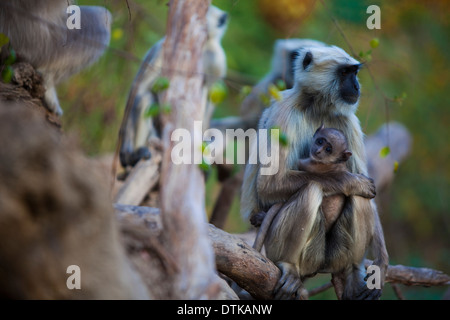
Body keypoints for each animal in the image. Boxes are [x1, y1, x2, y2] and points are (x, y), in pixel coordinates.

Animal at [118, 5, 229, 169]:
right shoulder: (166, 47)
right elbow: (141, 88)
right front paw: (127, 154)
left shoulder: (217, 60)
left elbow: (211, 97)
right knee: (145, 98)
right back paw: (137, 154)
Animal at [241, 45, 388, 300]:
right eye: (345, 73)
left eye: (354, 73)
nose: (356, 86)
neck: (317, 106)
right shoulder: (284, 112)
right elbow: (269, 185)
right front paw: (350, 181)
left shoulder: (349, 121)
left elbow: (369, 191)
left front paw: (381, 265)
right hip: (285, 248)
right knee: (312, 189)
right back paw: (289, 266)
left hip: (333, 257)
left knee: (360, 200)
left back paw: (351, 272)